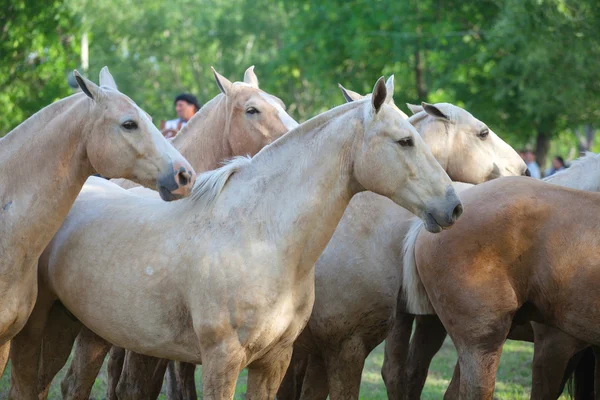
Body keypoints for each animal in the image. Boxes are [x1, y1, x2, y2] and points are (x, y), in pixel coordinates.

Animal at [9, 76, 462, 400]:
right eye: (405, 141)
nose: (454, 206)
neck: (261, 236)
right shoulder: (222, 361)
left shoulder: (275, 361)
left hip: (73, 326)